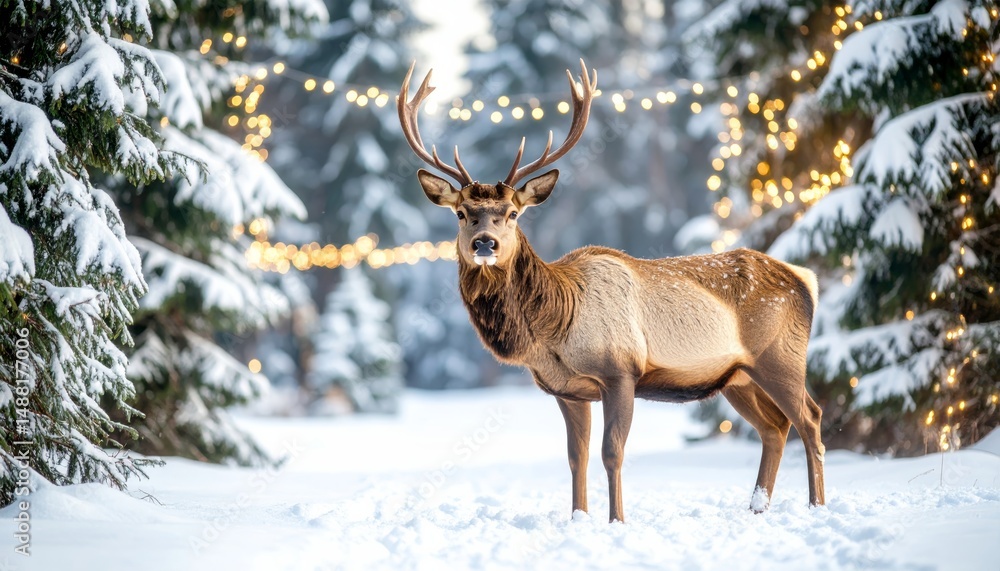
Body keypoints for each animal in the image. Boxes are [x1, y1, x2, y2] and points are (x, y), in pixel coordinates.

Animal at [397, 59, 826, 523]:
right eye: (461, 213)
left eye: (512, 213)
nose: (484, 244)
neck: (555, 327)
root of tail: (805, 279)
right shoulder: (568, 390)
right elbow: (576, 457)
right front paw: (578, 518)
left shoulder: (620, 371)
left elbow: (611, 453)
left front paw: (616, 520)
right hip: (737, 376)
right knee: (775, 427)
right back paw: (757, 507)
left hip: (780, 355)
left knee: (810, 418)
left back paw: (817, 504)